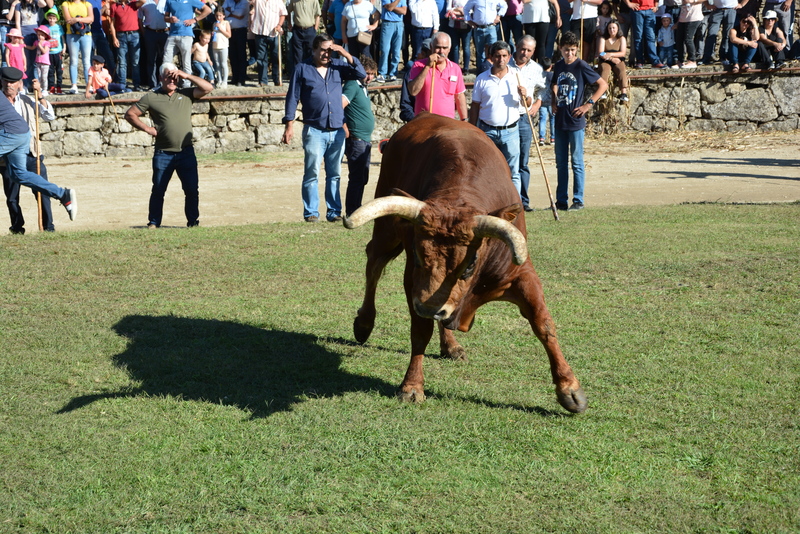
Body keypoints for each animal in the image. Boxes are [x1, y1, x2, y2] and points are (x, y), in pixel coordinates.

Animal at [344, 112, 588, 414]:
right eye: (418, 254)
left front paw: (569, 388)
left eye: (469, 266)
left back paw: (450, 345)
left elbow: (544, 324)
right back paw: (364, 323)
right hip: (387, 232)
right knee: (374, 264)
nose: (430, 308)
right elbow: (420, 331)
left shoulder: (522, 274)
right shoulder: (414, 282)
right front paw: (412, 386)